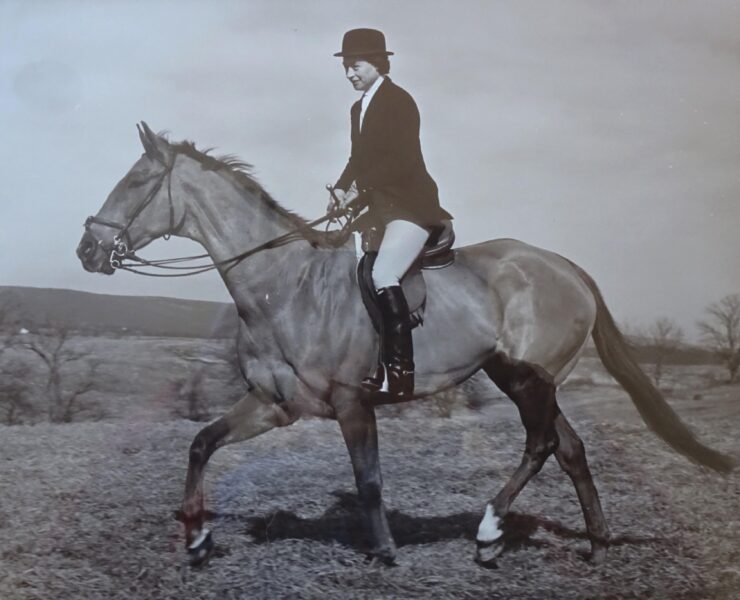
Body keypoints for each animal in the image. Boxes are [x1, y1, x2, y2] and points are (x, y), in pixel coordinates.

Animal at [76, 122, 736, 568]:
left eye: (137, 181)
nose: (87, 250)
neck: (282, 286)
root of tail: (565, 266)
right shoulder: (274, 404)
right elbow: (200, 443)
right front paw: (196, 538)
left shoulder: (352, 403)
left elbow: (368, 480)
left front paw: (386, 551)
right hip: (523, 377)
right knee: (569, 447)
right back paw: (595, 545)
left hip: (528, 377)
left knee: (543, 444)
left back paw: (490, 533)